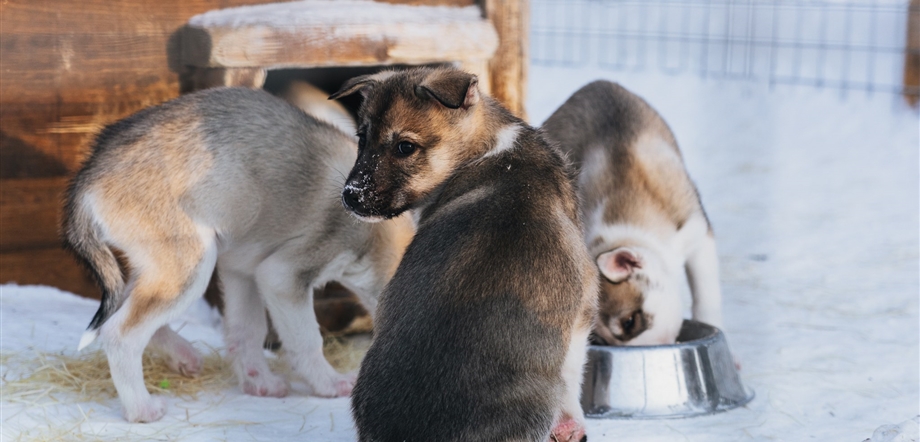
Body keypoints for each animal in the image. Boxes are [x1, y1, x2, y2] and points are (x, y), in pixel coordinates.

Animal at [62, 88, 414, 424]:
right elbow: (306, 341)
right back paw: (141, 409)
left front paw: (259, 383)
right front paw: (329, 384)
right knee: (120, 334)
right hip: (190, 267)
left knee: (125, 312)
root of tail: (90, 172)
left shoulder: (244, 271)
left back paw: (184, 356)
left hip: (158, 267)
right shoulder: (283, 276)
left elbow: (247, 332)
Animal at [330, 66, 596, 442]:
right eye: (362, 138)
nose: (351, 196)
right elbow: (573, 373)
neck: (488, 149)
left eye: (405, 147)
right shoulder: (583, 307)